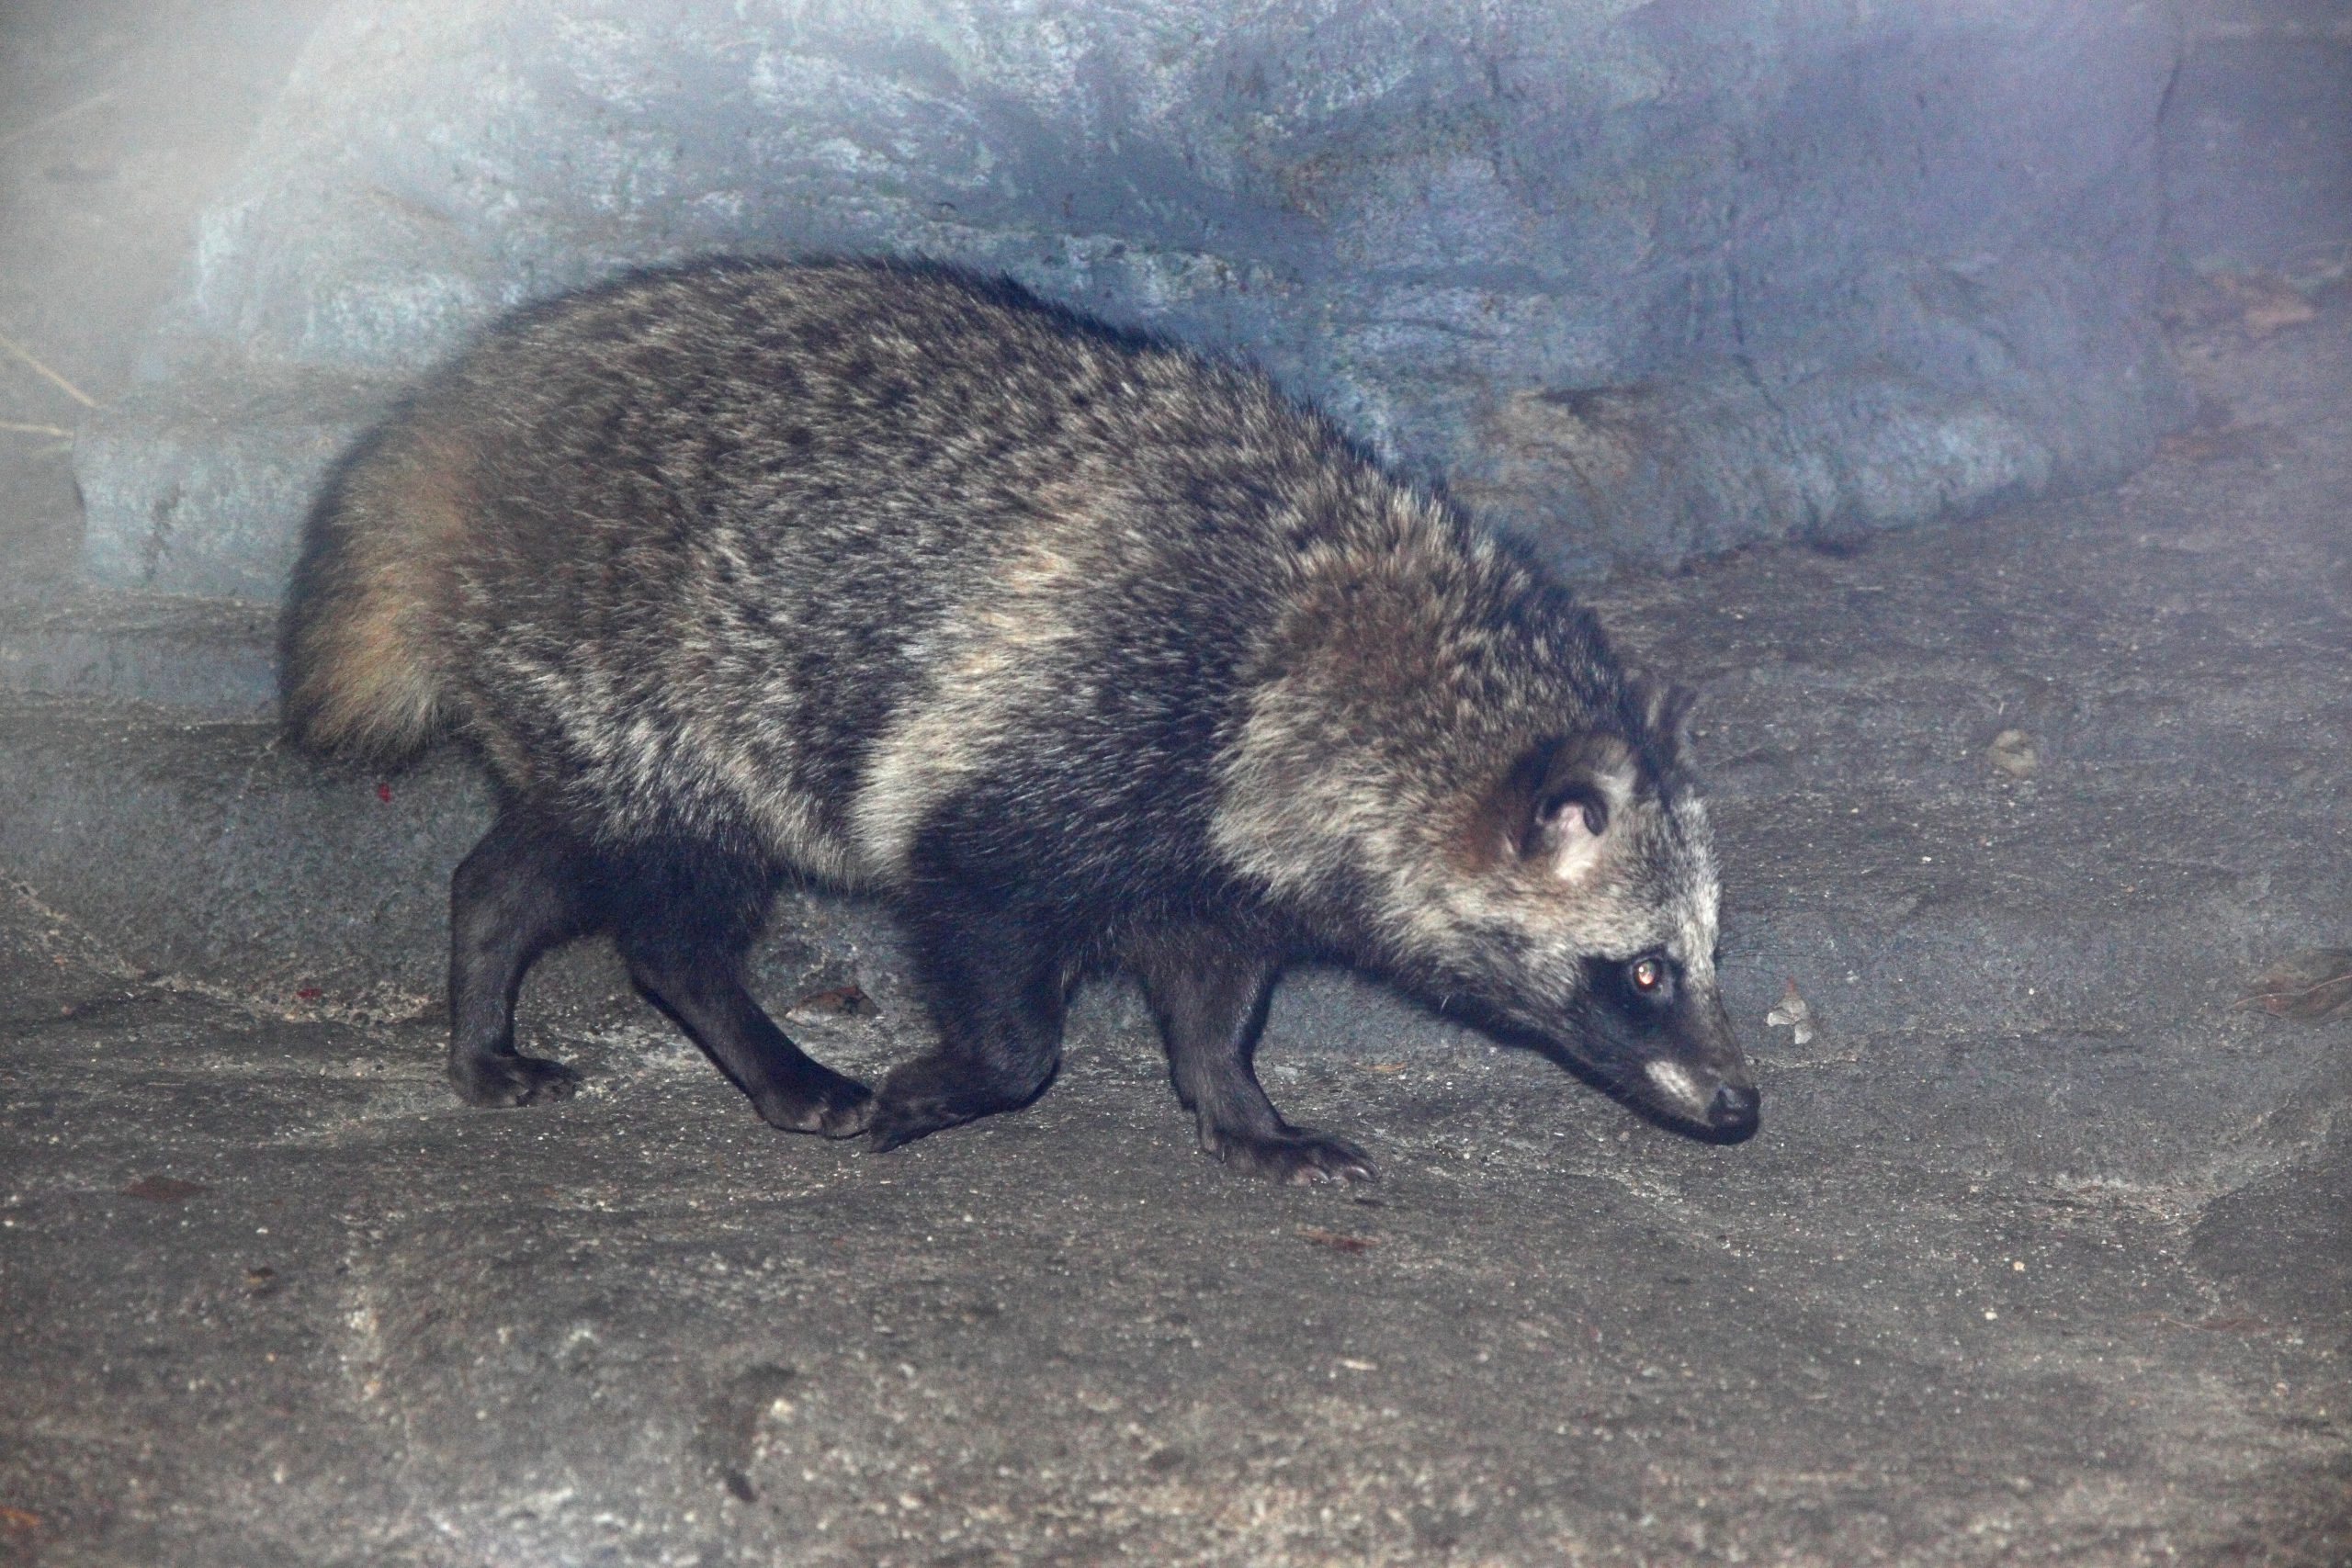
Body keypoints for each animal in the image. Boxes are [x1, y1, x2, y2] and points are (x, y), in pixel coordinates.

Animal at [282, 256, 1758, 1184]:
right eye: (1643, 971)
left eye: (1702, 953)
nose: (1743, 1104)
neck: (1329, 660)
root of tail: (428, 458)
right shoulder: (1071, 737)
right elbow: (998, 969)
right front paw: (962, 1077)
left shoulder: (1213, 851)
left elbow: (1216, 989)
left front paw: (1241, 1104)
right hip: (647, 675)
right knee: (669, 905)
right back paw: (762, 1047)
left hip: (573, 706)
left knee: (528, 861)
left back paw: (482, 1002)